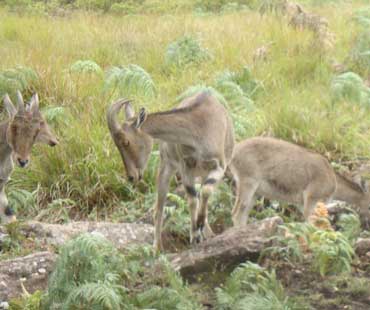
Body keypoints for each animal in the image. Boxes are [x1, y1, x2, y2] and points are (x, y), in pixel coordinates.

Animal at [107, 92, 234, 252]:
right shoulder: (186, 167)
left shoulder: (219, 166)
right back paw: (157, 247)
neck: (198, 127)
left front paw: (199, 226)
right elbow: (192, 199)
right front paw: (195, 235)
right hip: (167, 166)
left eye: (125, 142)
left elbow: (204, 192)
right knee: (159, 208)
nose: (131, 176)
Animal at [230, 138, 368, 228]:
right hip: (247, 183)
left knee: (243, 214)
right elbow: (309, 223)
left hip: (255, 193)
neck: (334, 181)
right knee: (236, 214)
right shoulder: (312, 197)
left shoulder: (303, 203)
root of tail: (234, 151)